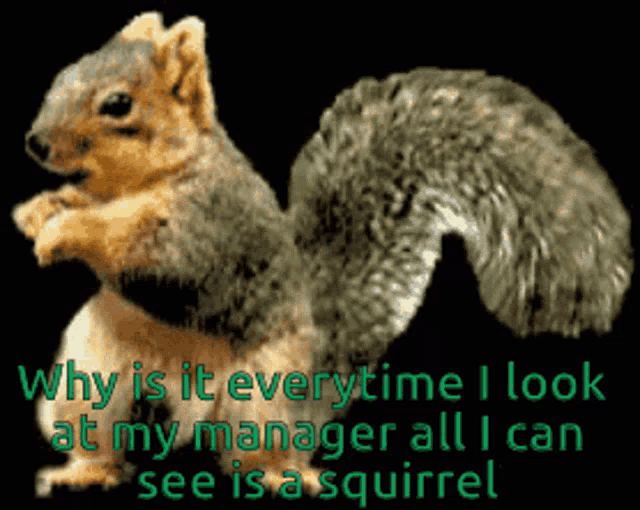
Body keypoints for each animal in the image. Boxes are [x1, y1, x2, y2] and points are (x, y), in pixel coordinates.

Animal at [13, 11, 632, 498]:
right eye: (64, 74)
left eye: (118, 104)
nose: (35, 143)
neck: (141, 181)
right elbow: (80, 203)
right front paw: (40, 210)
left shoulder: (213, 228)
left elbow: (151, 251)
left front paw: (65, 229)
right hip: (89, 376)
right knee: (105, 439)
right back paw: (84, 472)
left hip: (264, 391)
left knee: (259, 450)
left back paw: (284, 478)